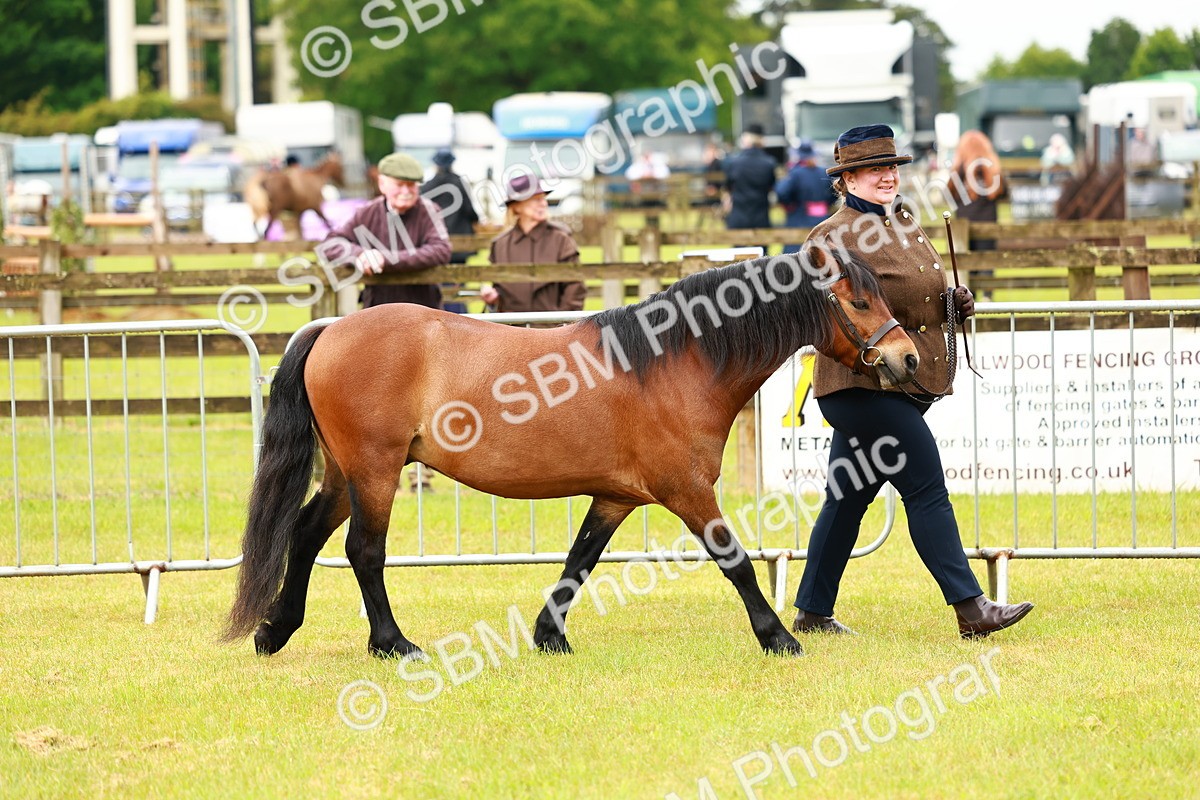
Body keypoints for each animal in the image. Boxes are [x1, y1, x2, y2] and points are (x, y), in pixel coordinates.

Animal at [224, 248, 919, 659]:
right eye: (859, 301)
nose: (908, 358)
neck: (673, 364)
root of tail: (331, 328)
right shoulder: (688, 492)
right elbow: (737, 562)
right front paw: (777, 636)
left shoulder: (615, 496)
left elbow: (579, 561)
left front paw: (547, 635)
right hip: (375, 472)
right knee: (363, 552)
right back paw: (393, 643)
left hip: (347, 474)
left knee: (306, 534)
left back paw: (274, 630)